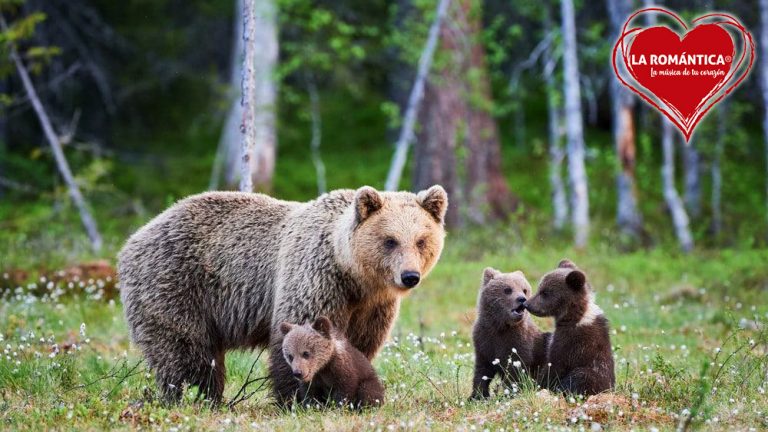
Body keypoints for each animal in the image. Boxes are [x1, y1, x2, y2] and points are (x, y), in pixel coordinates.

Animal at [117, 185, 447, 404]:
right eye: (390, 240)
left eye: (421, 240)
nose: (409, 276)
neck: (353, 274)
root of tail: (134, 237)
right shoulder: (316, 277)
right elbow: (298, 333)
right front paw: (301, 399)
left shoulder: (372, 306)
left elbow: (359, 345)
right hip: (176, 284)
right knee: (185, 350)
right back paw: (196, 396)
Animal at [471, 268, 551, 399]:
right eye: (507, 289)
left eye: (524, 290)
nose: (522, 299)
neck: (500, 326)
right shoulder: (484, 341)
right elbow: (482, 370)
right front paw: (477, 395)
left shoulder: (518, 343)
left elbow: (515, 371)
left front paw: (509, 393)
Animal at [523, 259, 615, 396]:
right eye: (540, 288)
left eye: (545, 292)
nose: (527, 304)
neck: (575, 317)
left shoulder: (572, 342)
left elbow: (556, 365)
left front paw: (537, 384)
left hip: (589, 373)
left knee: (581, 376)